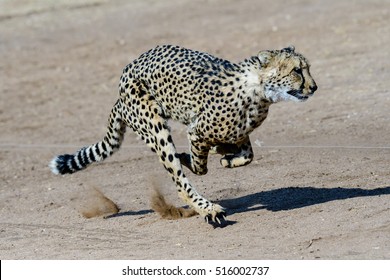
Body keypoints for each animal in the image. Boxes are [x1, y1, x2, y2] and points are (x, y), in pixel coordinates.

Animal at [49, 45, 316, 225]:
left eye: (307, 68)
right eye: (297, 71)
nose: (313, 87)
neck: (258, 91)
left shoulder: (238, 134)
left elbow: (247, 155)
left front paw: (226, 157)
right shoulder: (196, 131)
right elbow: (200, 166)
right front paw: (198, 157)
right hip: (155, 127)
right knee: (180, 183)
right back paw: (209, 210)